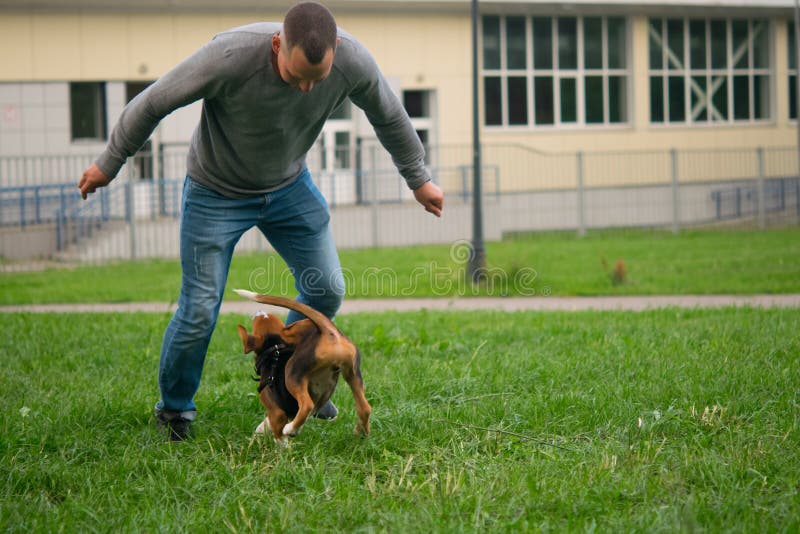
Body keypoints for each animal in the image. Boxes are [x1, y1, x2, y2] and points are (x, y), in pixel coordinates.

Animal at [231, 292, 368, 446]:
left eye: (257, 321)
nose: (260, 311)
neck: (274, 349)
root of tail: (329, 332)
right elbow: (265, 426)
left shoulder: (276, 412)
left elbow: (279, 437)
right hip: (352, 374)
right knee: (364, 408)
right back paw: (361, 432)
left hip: (293, 374)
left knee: (307, 405)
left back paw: (290, 429)